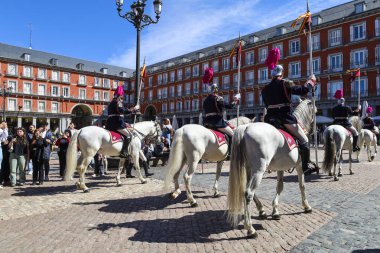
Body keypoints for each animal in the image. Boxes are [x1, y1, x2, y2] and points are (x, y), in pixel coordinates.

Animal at [226, 100, 314, 238]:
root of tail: (246, 127)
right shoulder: (299, 166)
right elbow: (302, 186)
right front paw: (306, 206)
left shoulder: (280, 168)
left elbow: (280, 186)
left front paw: (275, 210)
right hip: (259, 170)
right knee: (248, 193)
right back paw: (250, 229)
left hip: (250, 168)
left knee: (247, 190)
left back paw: (261, 211)